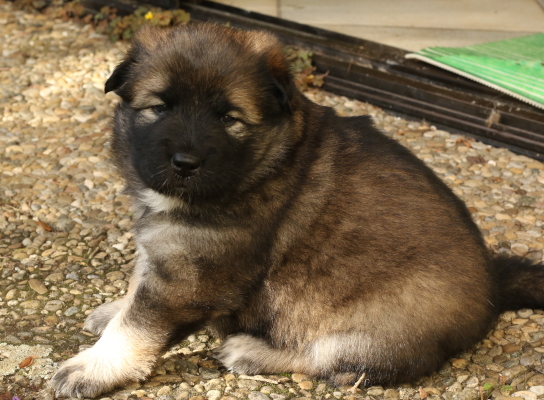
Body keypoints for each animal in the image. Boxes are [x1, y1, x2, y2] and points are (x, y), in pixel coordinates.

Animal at [50, 23, 544, 398]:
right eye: (158, 107)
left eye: (229, 118)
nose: (185, 163)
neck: (268, 160)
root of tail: (494, 288)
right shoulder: (165, 244)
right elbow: (138, 285)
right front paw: (113, 309)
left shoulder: (194, 277)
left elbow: (139, 324)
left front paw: (94, 367)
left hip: (371, 330)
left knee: (330, 362)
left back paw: (251, 351)